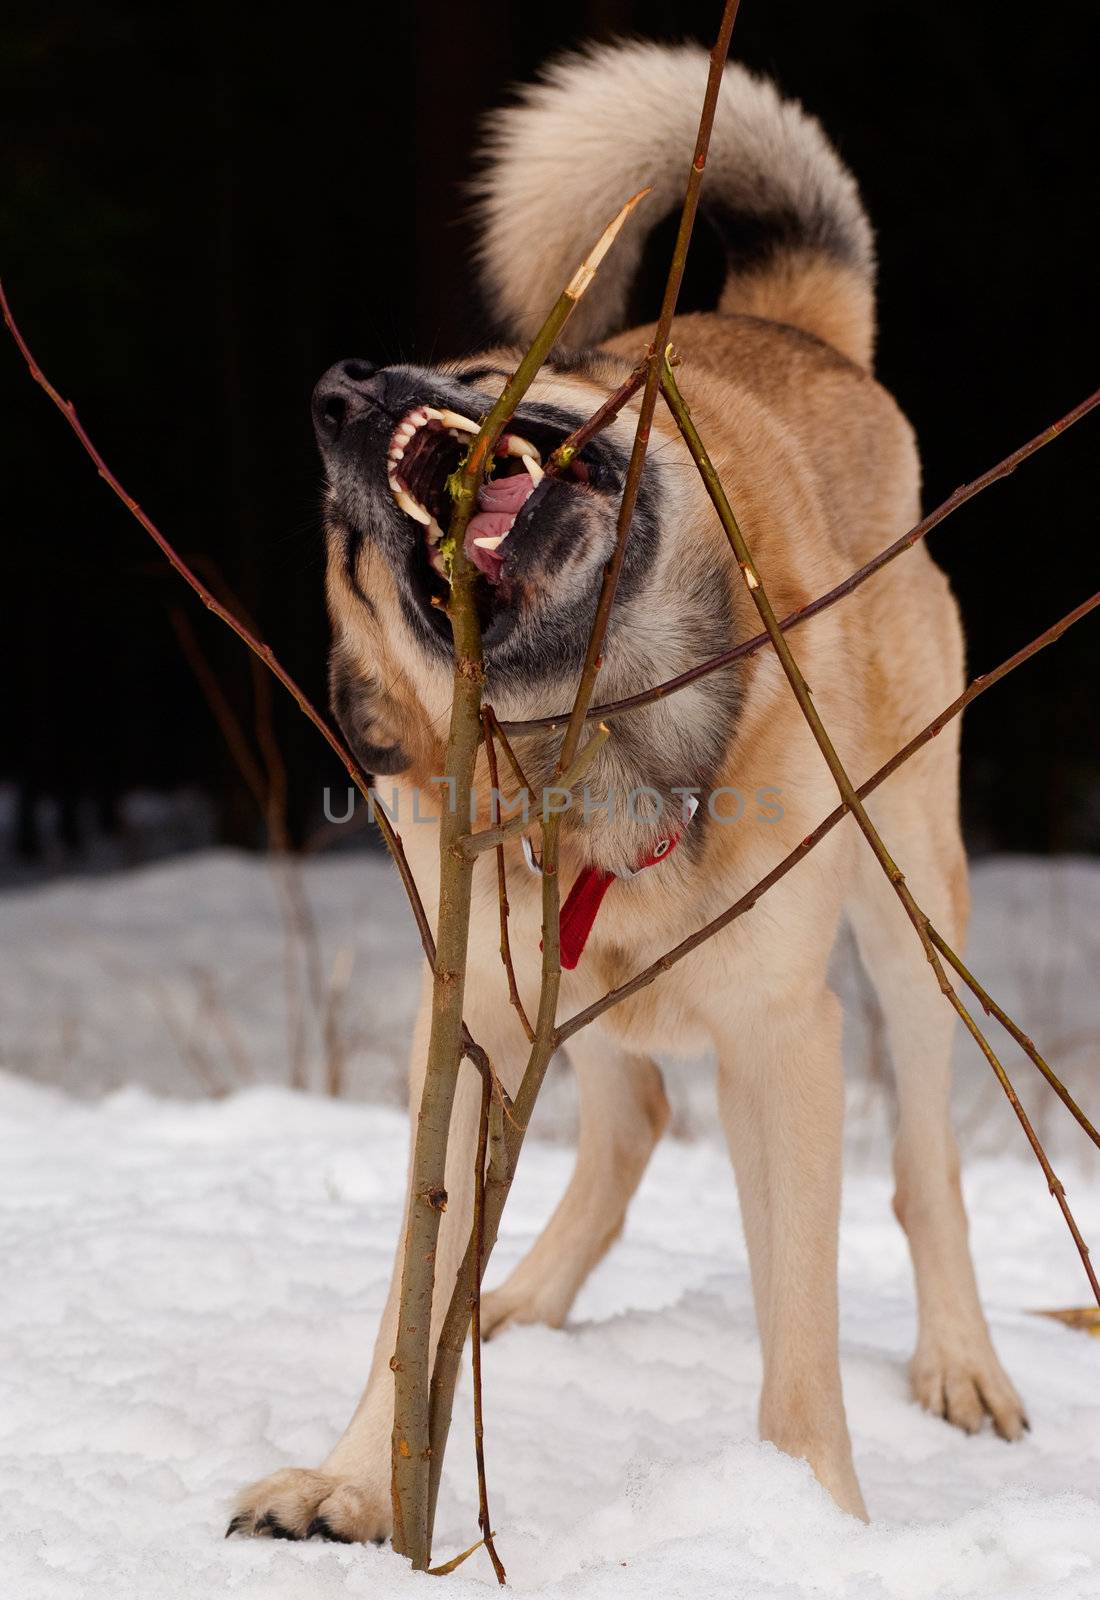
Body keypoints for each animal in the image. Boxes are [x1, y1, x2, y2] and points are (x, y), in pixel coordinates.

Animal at [227, 37, 1029, 1536]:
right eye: (351, 554)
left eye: (473, 368)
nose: (339, 391)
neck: (614, 746)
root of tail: (790, 332)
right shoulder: (466, 1032)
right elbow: (408, 1301)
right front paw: (357, 1482)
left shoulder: (784, 1038)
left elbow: (801, 1342)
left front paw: (807, 1521)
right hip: (565, 993)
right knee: (633, 1121)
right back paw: (516, 1300)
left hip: (909, 912)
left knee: (924, 1169)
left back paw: (960, 1362)